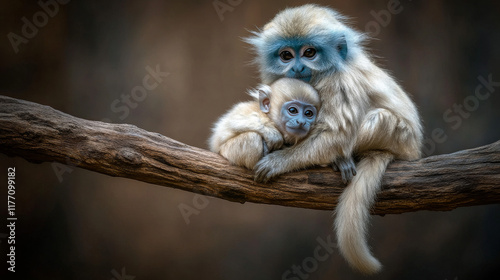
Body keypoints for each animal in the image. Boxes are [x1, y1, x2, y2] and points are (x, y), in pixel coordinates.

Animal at [246, 4, 422, 274]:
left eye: (309, 52)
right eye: (286, 55)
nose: (297, 67)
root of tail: (413, 148)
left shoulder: (340, 80)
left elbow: (335, 134)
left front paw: (279, 161)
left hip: (398, 135)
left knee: (374, 120)